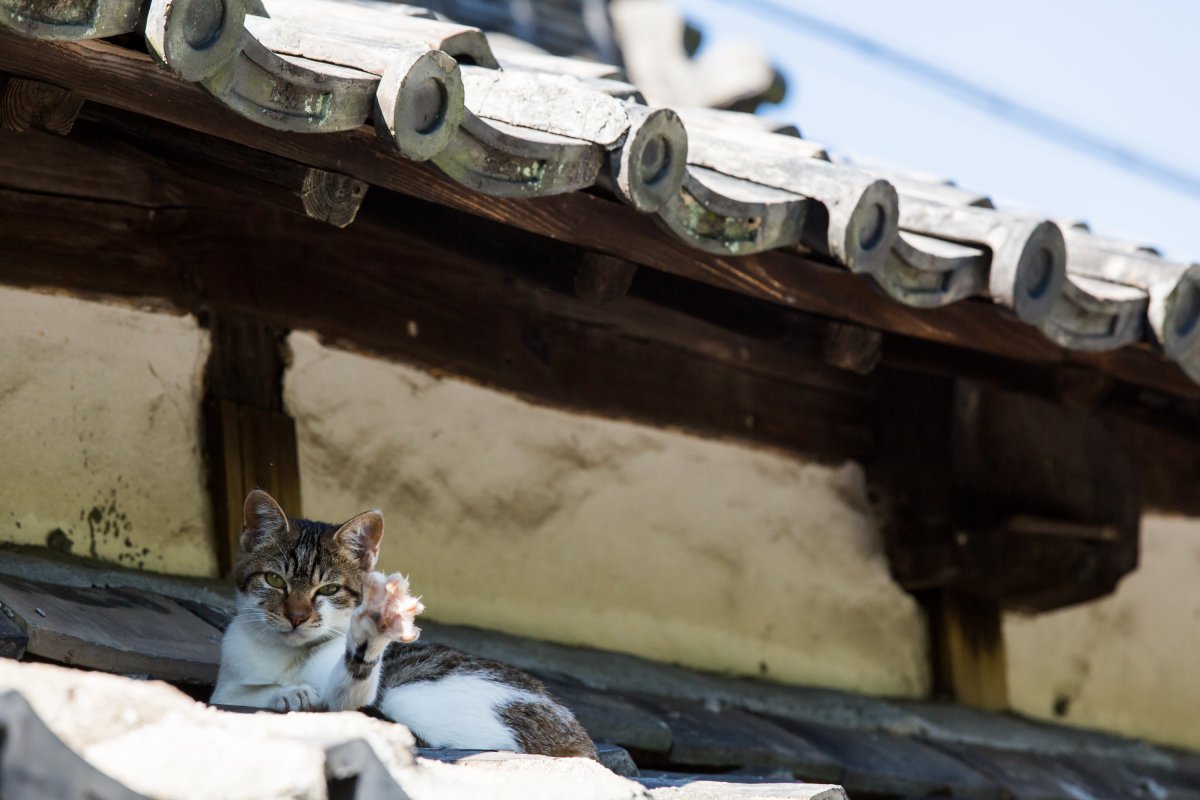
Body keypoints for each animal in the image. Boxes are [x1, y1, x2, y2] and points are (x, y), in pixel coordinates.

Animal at [211, 491, 600, 762]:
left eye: (329, 590)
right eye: (275, 580)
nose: (296, 616)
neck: (290, 658)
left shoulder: (349, 697)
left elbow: (347, 693)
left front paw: (365, 643)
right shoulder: (227, 685)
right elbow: (242, 696)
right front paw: (290, 693)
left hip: (413, 695)